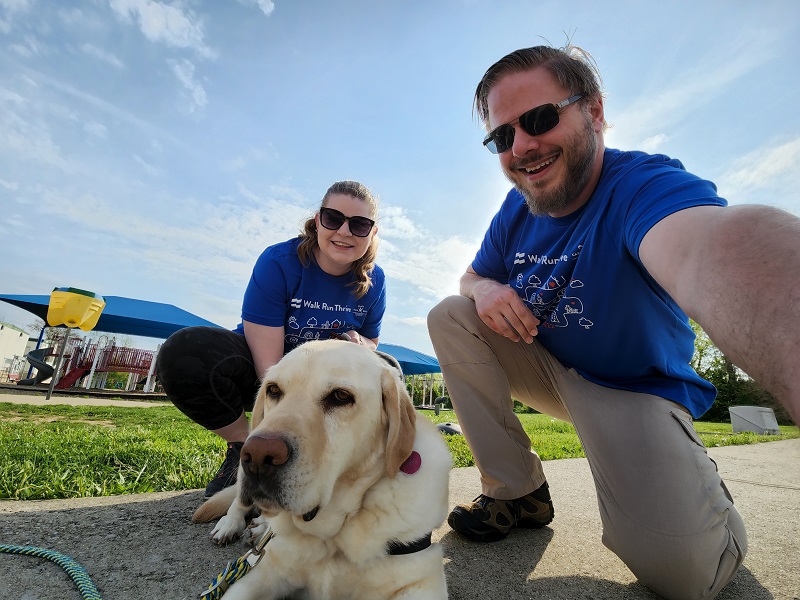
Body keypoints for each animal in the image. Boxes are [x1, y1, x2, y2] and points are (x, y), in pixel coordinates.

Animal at [193, 339, 452, 599]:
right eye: (273, 390)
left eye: (341, 396)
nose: (256, 455)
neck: (331, 536)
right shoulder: (267, 569)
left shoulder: (422, 581)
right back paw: (231, 524)